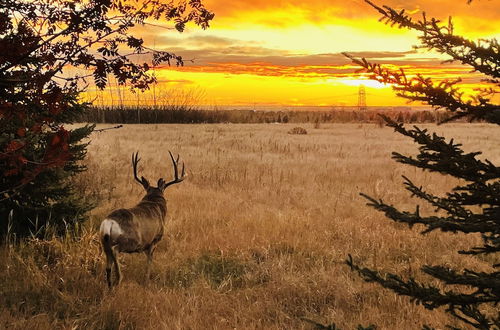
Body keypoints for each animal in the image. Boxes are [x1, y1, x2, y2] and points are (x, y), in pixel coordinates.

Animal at [98, 151, 185, 288]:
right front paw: (147, 281)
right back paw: (119, 278)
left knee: (108, 267)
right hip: (129, 240)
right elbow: (149, 263)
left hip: (103, 241)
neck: (155, 203)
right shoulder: (153, 240)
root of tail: (109, 223)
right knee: (115, 251)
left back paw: (110, 287)